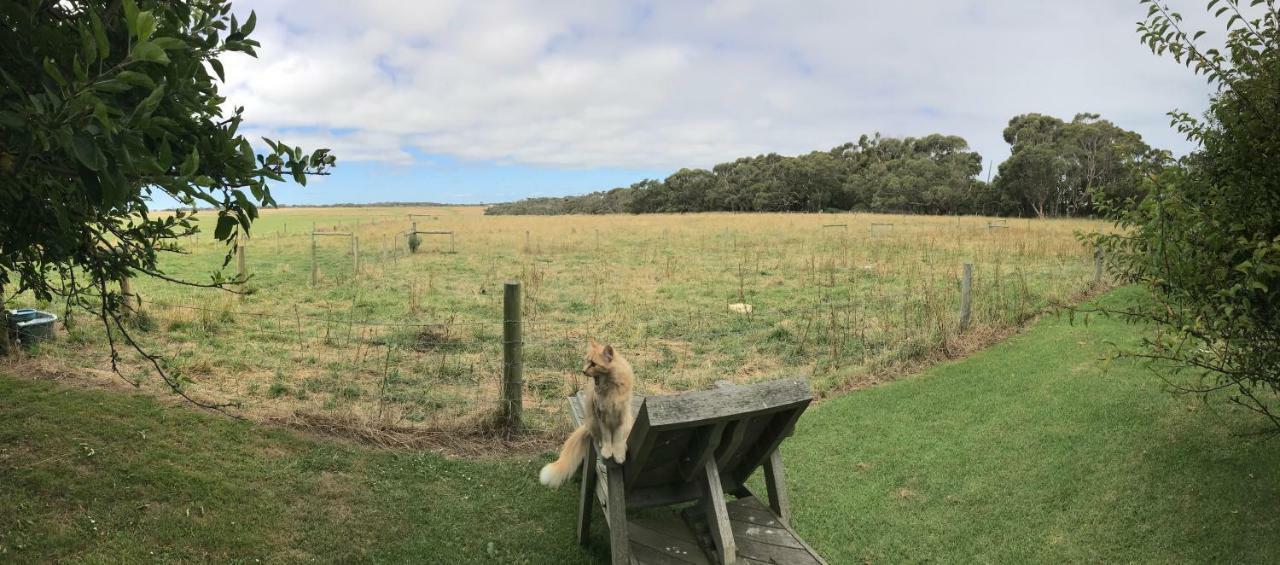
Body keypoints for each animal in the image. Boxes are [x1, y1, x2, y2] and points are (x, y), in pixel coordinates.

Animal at [540, 335, 634, 486]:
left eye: (594, 364)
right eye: (586, 360)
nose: (583, 371)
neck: (610, 387)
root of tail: (586, 426)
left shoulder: (622, 416)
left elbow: (618, 438)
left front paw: (618, 453)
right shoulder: (601, 415)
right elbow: (607, 436)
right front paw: (607, 450)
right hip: (593, 421)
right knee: (598, 436)